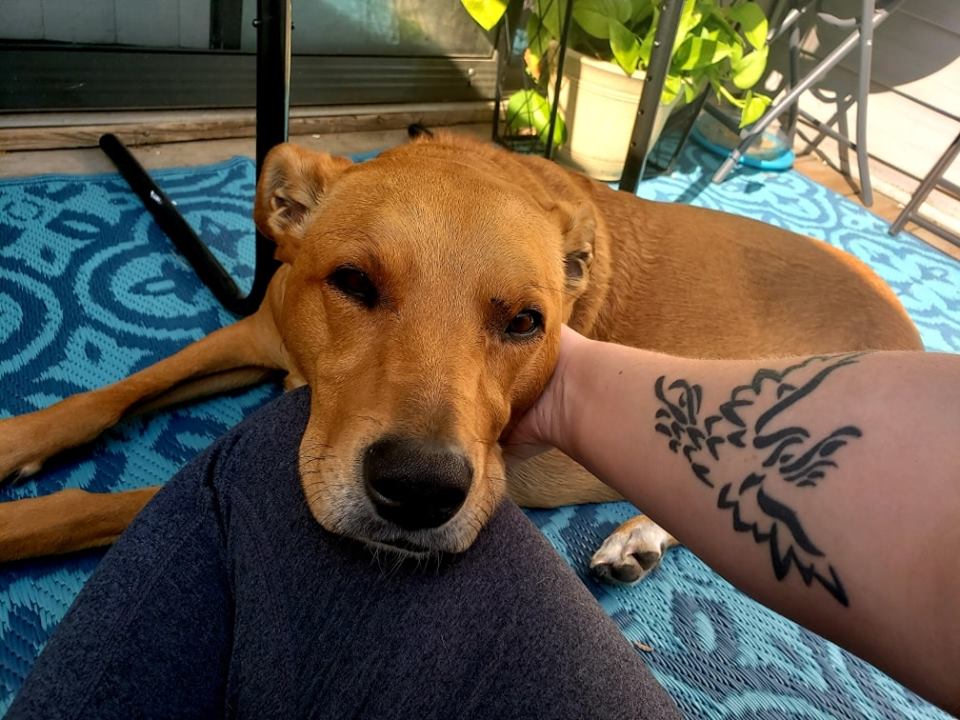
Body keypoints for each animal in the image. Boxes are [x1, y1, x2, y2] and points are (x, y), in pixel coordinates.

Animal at [0, 131, 924, 580]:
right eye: (352, 282)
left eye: (526, 321)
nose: (418, 492)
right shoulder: (259, 333)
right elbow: (112, 394)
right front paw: (19, 440)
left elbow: (127, 501)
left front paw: (22, 521)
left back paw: (637, 536)